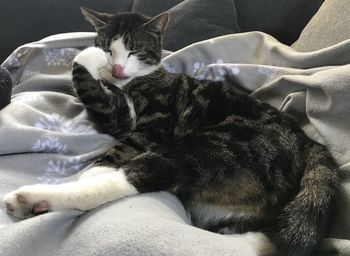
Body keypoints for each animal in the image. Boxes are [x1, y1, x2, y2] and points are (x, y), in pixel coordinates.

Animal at [2, 7, 340, 255]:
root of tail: (309, 142)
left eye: (134, 51)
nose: (116, 67)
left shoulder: (154, 122)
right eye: (109, 49)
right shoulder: (114, 117)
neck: (131, 84)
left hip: (210, 146)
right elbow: (94, 93)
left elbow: (119, 147)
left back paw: (34, 199)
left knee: (137, 176)